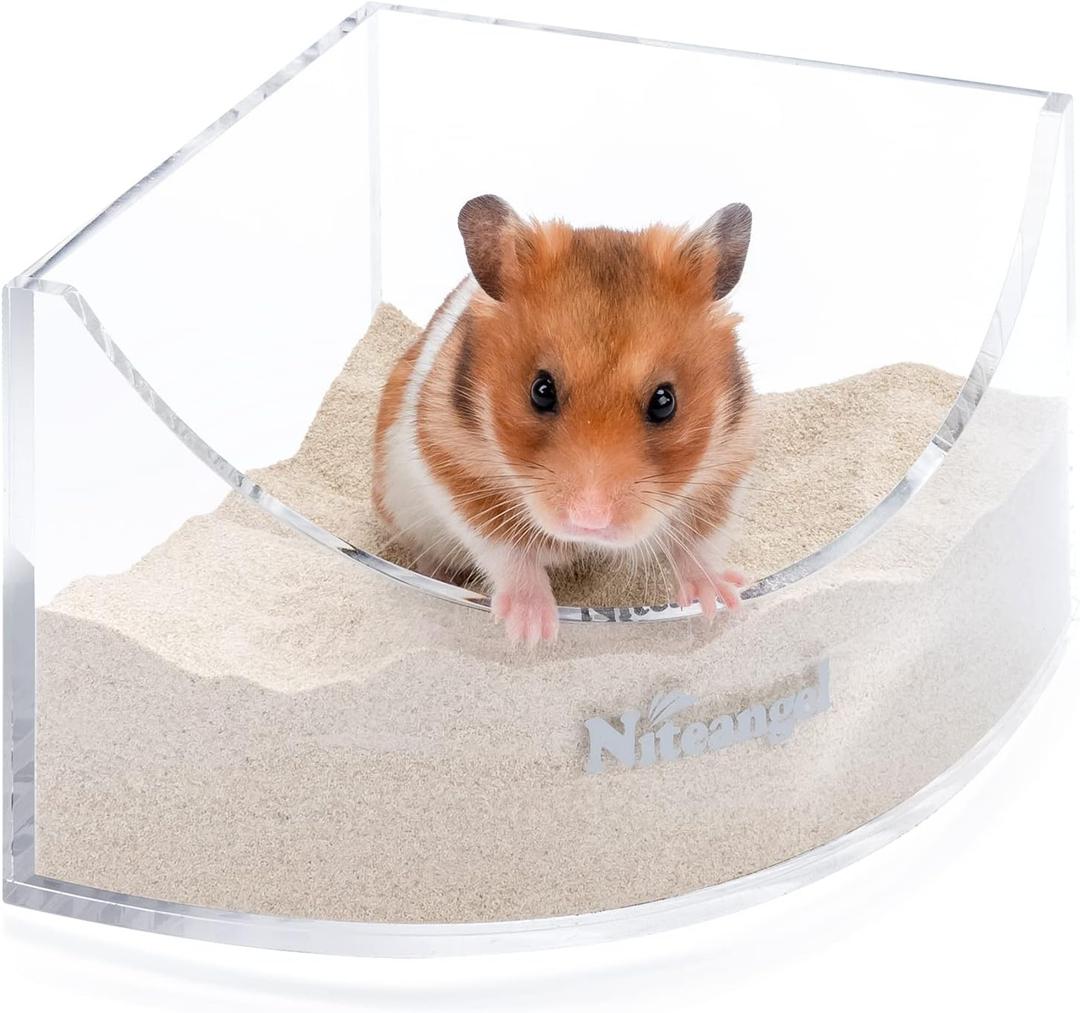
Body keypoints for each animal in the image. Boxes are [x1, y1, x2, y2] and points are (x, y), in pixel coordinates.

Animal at [373, 195, 756, 645]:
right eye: (541, 390)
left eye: (665, 402)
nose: (589, 521)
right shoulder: (454, 466)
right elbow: (507, 552)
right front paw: (532, 633)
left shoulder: (724, 470)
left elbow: (700, 545)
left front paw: (720, 603)